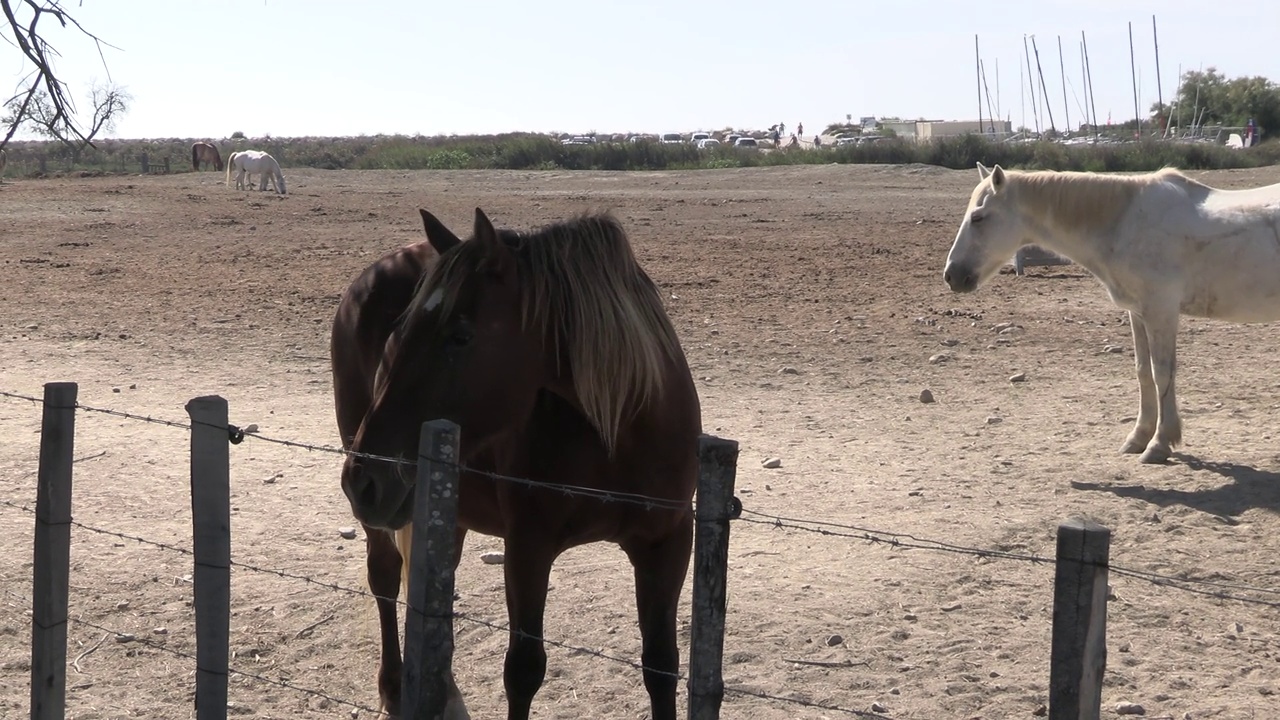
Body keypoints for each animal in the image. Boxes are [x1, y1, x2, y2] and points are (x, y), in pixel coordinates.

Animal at [330, 204, 706, 712]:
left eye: (460, 336)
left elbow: (662, 666)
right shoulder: (528, 547)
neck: (619, 432)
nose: (361, 479)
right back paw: (395, 686)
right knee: (386, 577)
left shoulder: (668, 544)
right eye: (399, 334)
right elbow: (524, 670)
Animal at [942, 163, 1280, 461]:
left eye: (978, 217)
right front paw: (1138, 438)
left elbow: (1162, 373)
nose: (952, 275)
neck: (1126, 223)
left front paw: (1159, 444)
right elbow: (1143, 371)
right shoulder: (1139, 313)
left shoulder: (1161, 311)